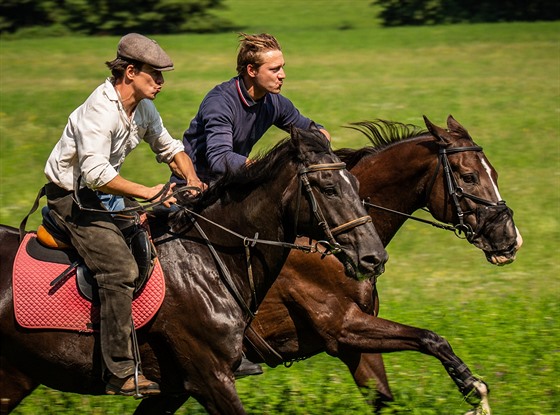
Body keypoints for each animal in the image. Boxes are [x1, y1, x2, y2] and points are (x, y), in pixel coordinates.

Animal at [0, 128, 390, 415]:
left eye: (358, 186)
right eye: (329, 188)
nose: (374, 257)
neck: (207, 259)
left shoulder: (174, 390)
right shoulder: (210, 378)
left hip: (15, 378)